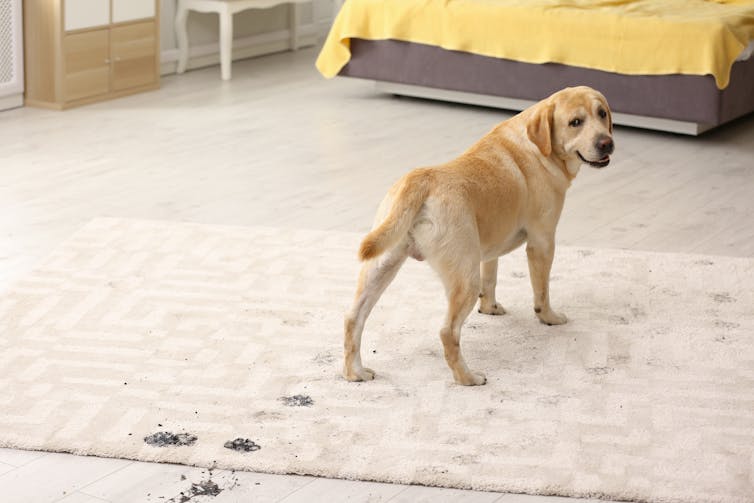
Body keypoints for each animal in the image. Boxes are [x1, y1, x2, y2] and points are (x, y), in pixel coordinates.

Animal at [344, 85, 612, 386]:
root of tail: (421, 178)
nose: (607, 143)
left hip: (381, 266)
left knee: (353, 318)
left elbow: (491, 278)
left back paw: (354, 372)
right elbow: (541, 291)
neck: (539, 147)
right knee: (448, 332)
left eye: (602, 114)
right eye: (575, 122)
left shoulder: (490, 248)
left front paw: (490, 308)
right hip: (464, 277)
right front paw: (549, 317)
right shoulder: (542, 241)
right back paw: (467, 378)